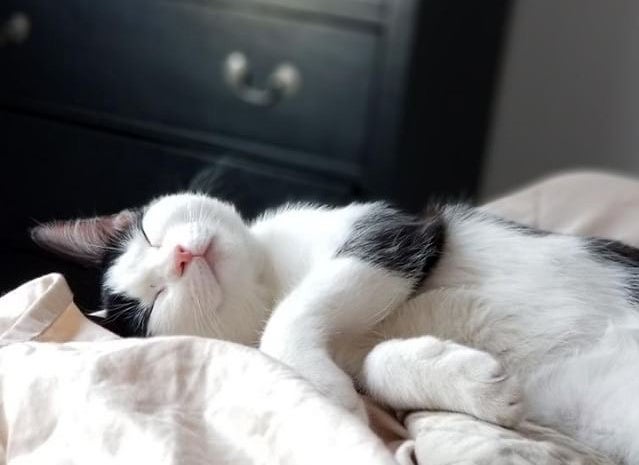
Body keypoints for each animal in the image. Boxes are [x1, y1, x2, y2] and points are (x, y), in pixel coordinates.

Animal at [30, 192, 639, 464]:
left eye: (149, 236)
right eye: (152, 306)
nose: (180, 257)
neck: (274, 277)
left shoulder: (392, 230)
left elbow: (290, 317)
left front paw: (327, 396)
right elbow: (369, 364)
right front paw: (471, 383)